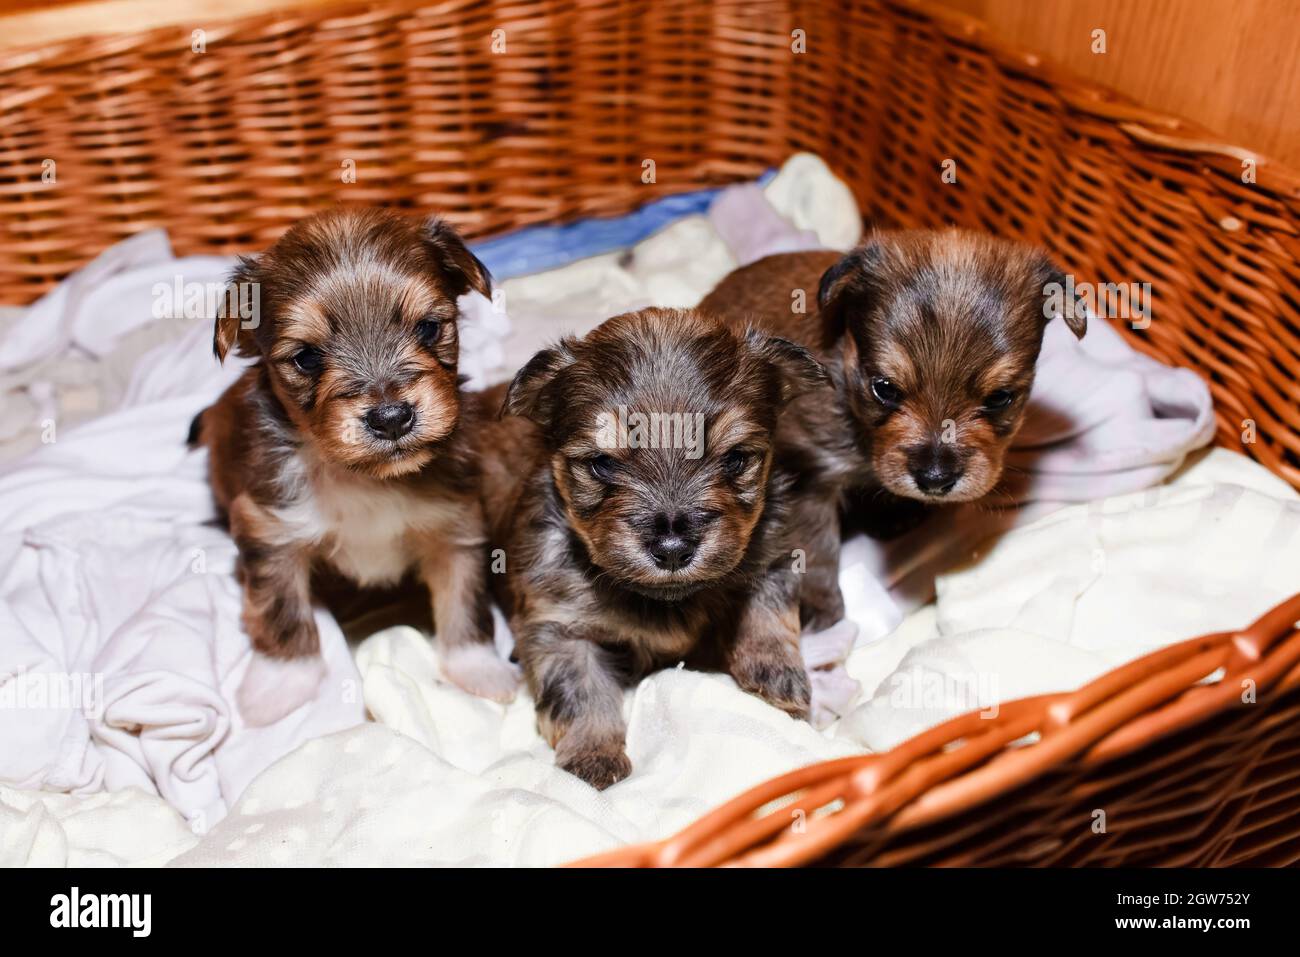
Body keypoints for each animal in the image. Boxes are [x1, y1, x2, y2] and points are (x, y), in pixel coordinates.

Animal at [192, 205, 517, 722]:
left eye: (428, 328)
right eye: (306, 357)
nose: (391, 418)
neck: (364, 477)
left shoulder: (456, 526)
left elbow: (464, 603)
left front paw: (478, 669)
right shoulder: (271, 530)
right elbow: (282, 609)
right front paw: (279, 685)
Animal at [480, 310, 832, 790]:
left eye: (735, 459)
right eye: (602, 464)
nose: (672, 548)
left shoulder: (774, 553)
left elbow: (767, 614)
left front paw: (777, 676)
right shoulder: (558, 623)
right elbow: (580, 691)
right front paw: (592, 757)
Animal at [702, 226, 1086, 629]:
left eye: (1000, 397)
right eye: (885, 388)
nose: (935, 480)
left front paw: (895, 513)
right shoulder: (808, 473)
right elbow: (816, 547)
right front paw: (820, 608)